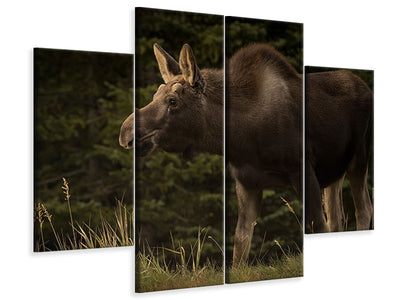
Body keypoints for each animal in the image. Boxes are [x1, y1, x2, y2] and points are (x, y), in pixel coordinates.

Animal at [118, 41, 372, 264]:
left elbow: (317, 224)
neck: (243, 138)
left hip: (359, 157)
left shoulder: (303, 170)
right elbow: (240, 245)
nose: (125, 132)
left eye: (173, 101)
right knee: (337, 217)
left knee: (363, 210)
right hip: (334, 170)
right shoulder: (247, 182)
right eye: (154, 96)